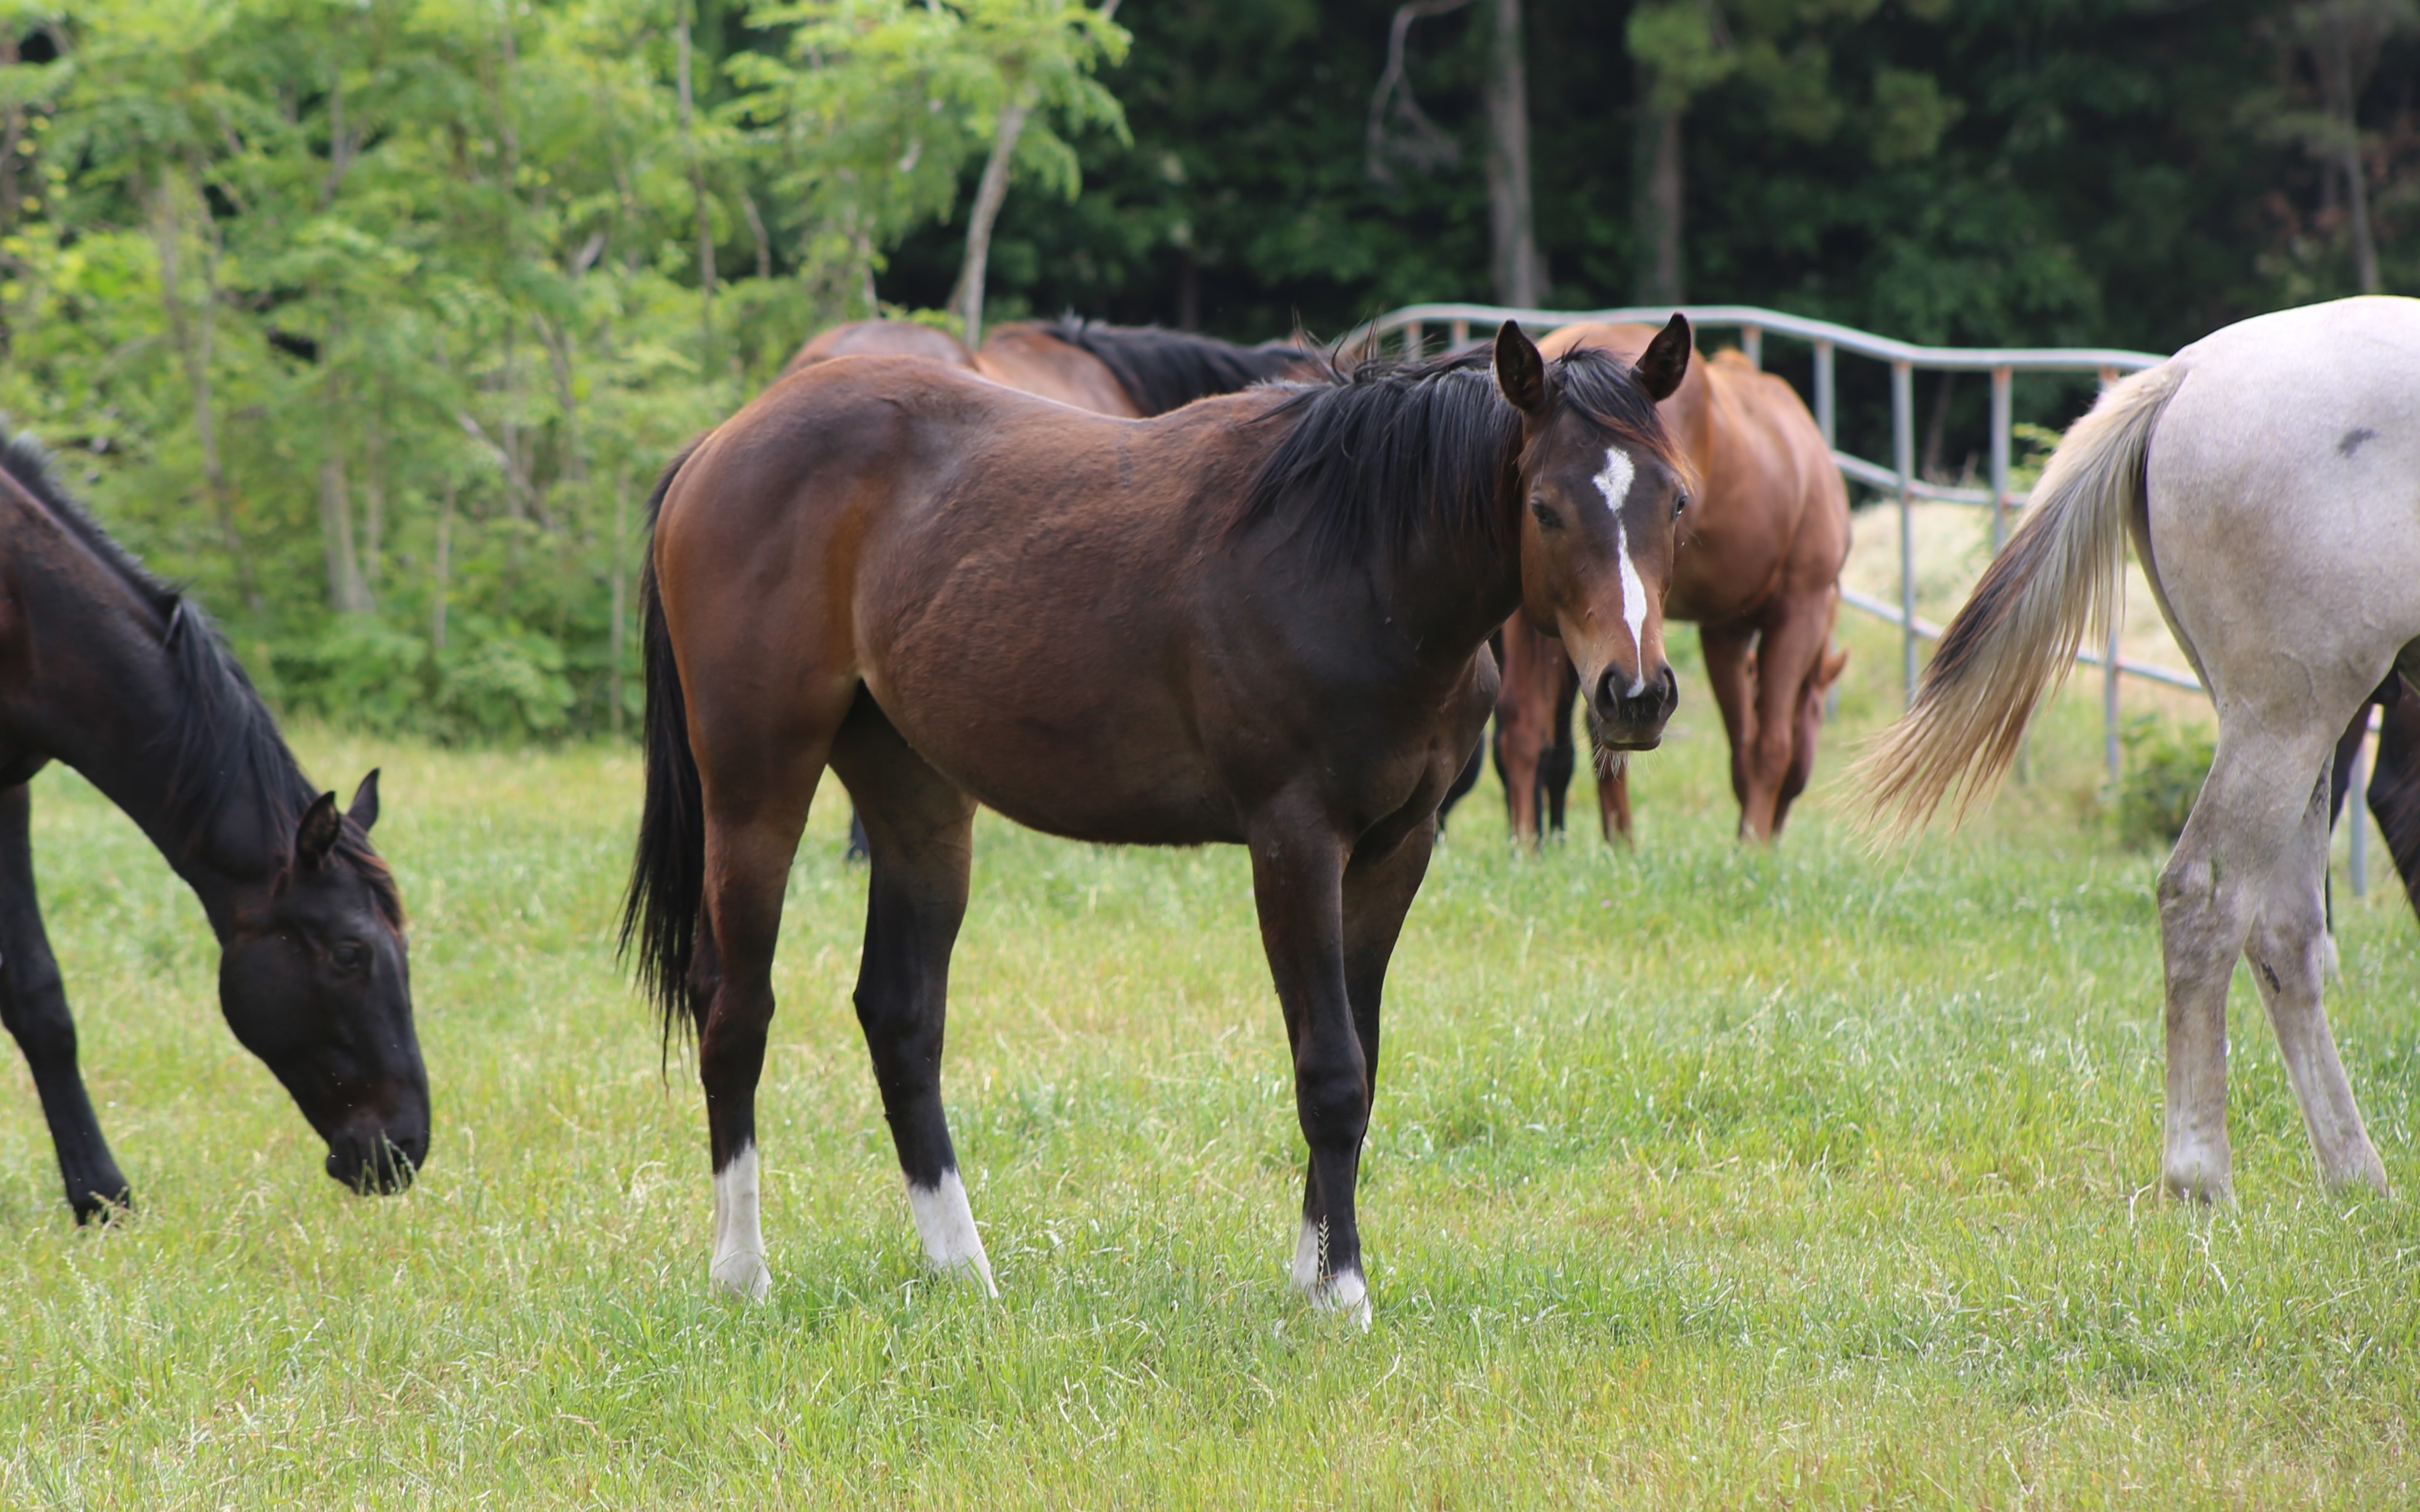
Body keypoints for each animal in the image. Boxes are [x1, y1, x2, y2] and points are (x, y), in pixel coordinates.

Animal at [0, 433, 426, 1214]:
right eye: (350, 953)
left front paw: (101, 1196)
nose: (403, 1148)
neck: (24, 608)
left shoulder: (9, 788)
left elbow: (40, 996)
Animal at [614, 322, 1694, 1316]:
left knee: (900, 1017)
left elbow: (1363, 1058)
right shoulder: (1294, 842)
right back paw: (742, 1274)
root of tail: (719, 445)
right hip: (755, 790)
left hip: (917, 802)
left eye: (1675, 499)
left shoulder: (1398, 849)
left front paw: (1310, 1270)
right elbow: (1331, 1069)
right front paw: (1341, 1294)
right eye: (1544, 507)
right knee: (734, 1008)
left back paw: (962, 1270)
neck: (1357, 561)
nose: (1634, 693)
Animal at [1442, 324, 1839, 842]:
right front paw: (1751, 844)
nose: (1775, 832)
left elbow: (1742, 746)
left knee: (1529, 726)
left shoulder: (1723, 631)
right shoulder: (1799, 610)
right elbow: (1771, 745)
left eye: (1679, 503)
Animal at [1868, 297, 2420, 1204]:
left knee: (2282, 928)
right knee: (2206, 899)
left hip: (2298, 723)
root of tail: (2186, 374)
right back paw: (2202, 1176)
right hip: (2289, 714)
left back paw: (2353, 1174)